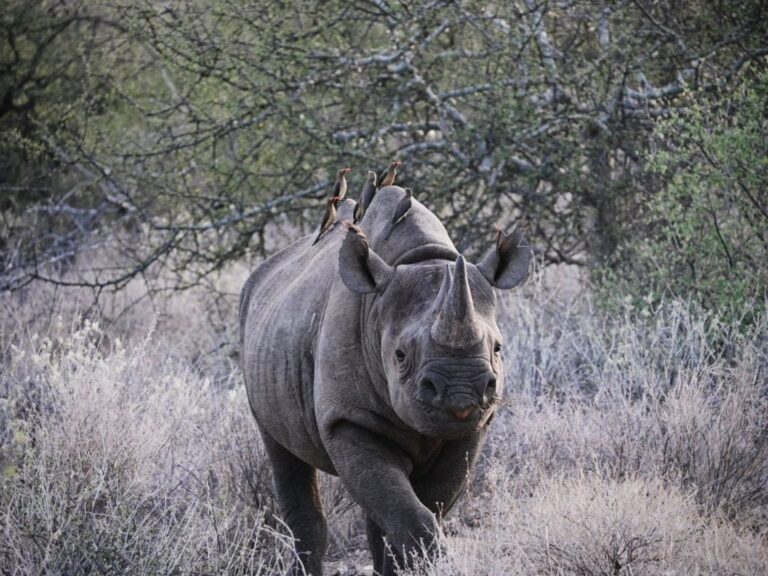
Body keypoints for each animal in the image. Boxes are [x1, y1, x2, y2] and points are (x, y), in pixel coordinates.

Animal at [239, 186, 531, 575]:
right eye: (400, 356)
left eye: (498, 348)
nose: (461, 391)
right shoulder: (347, 419)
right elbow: (409, 514)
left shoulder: (473, 427)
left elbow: (425, 506)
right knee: (283, 454)